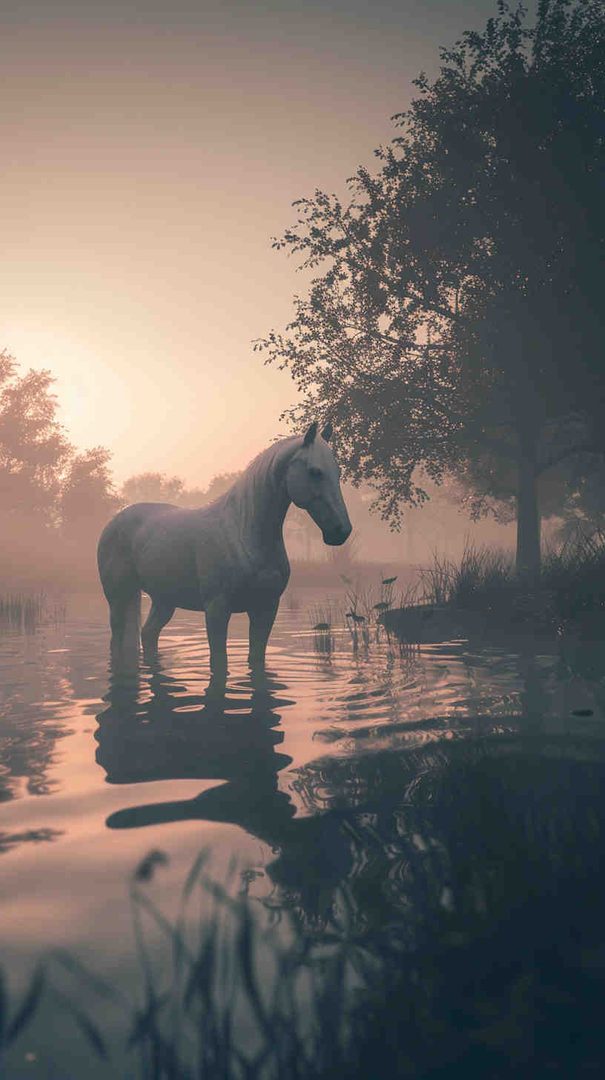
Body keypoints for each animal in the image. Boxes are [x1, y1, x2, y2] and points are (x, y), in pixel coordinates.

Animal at [97, 421, 351, 674]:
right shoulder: (217, 610)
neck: (243, 533)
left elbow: (256, 659)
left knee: (149, 633)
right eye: (315, 472)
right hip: (119, 599)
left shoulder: (266, 608)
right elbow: (219, 663)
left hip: (164, 600)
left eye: (337, 472)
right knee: (117, 639)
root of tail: (114, 522)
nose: (341, 531)